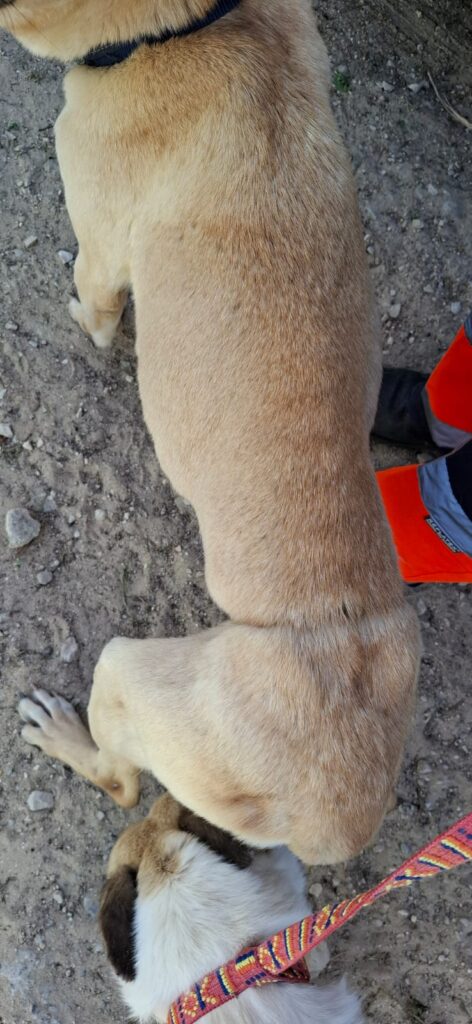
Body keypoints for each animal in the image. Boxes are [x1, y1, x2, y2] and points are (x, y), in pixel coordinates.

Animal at [5, 0, 421, 863]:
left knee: (122, 780)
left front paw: (80, 322)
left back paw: (61, 734)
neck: (195, 24)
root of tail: (329, 813)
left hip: (129, 672)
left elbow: (96, 310)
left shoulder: (100, 250)